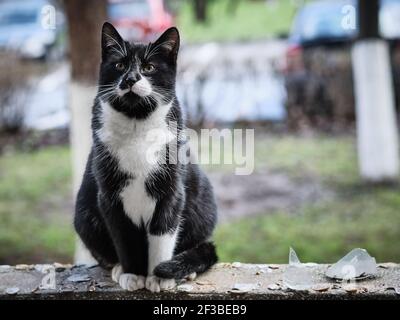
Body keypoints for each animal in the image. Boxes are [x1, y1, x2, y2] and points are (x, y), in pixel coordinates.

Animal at [75, 22, 219, 292]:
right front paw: (132, 273)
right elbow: (124, 236)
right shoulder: (109, 196)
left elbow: (162, 233)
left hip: (204, 202)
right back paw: (118, 268)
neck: (137, 123)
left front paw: (159, 276)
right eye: (120, 65)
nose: (131, 78)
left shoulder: (171, 191)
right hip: (84, 214)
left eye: (149, 67)